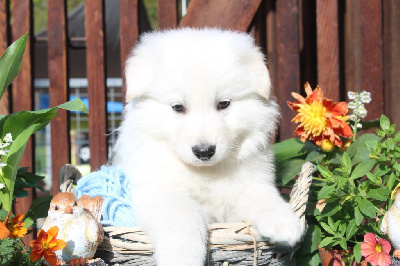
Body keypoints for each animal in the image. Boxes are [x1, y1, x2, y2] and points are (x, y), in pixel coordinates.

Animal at [111, 28, 302, 264]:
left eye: (223, 104)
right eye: (178, 107)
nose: (204, 151)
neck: (205, 173)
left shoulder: (247, 185)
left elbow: (262, 194)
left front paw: (283, 222)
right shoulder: (156, 192)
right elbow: (184, 214)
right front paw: (182, 259)